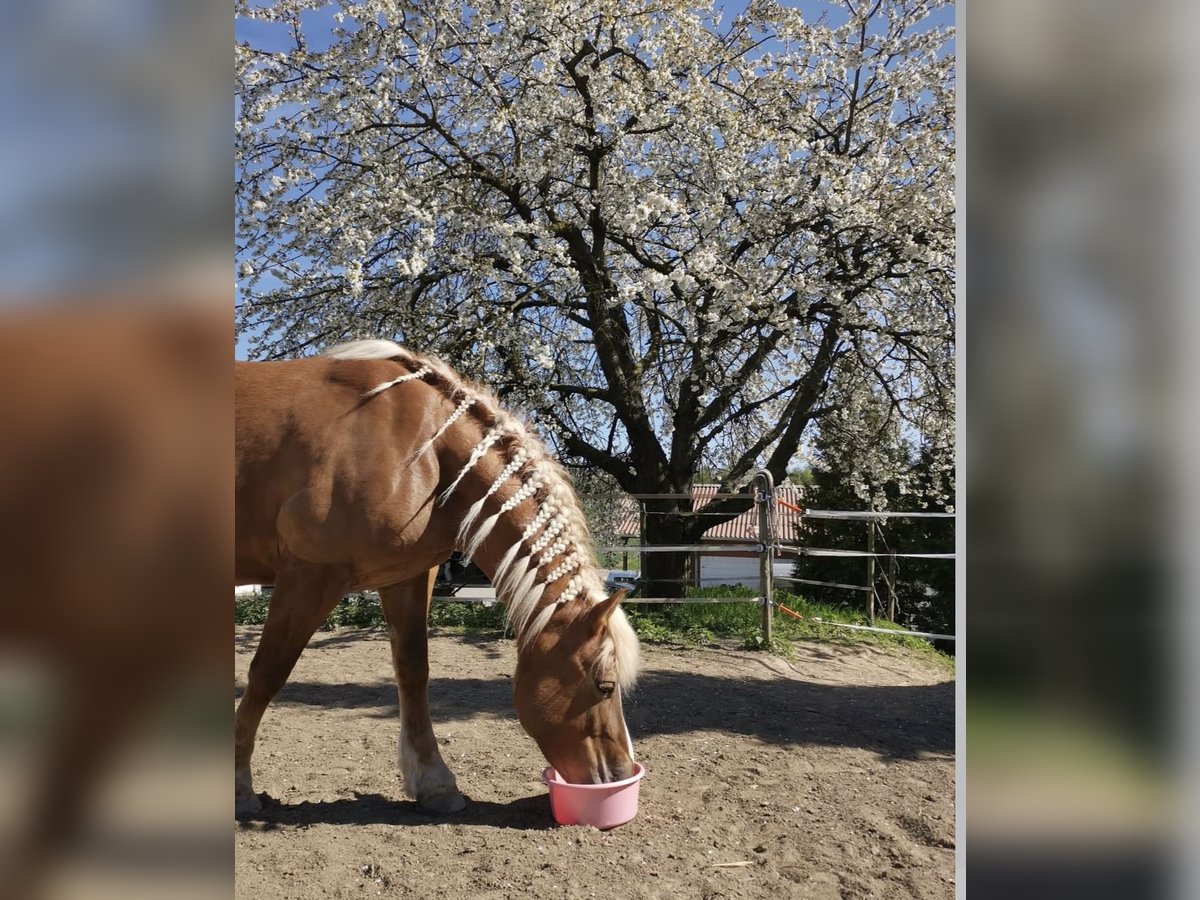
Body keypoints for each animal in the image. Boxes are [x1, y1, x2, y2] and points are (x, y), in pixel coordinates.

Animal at [237, 340, 643, 816]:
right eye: (605, 686)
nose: (619, 774)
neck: (423, 447)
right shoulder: (309, 575)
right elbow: (268, 673)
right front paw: (240, 787)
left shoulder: (406, 576)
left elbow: (413, 671)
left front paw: (435, 784)